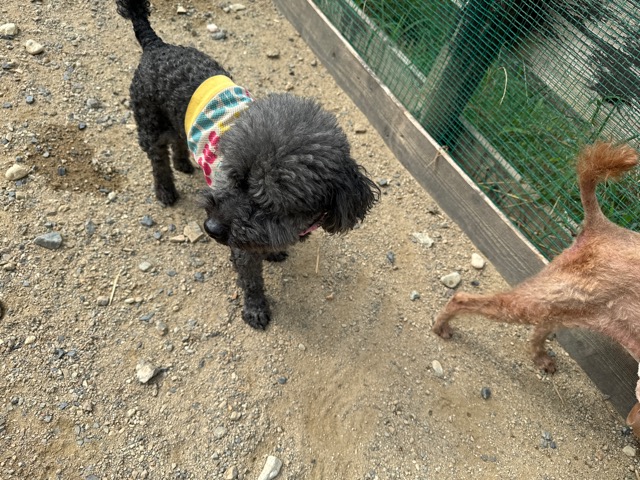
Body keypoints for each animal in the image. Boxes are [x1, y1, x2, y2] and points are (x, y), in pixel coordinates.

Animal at [116, 0, 378, 329]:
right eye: (233, 176)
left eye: (269, 202)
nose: (211, 228)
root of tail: (156, 44)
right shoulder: (241, 250)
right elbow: (251, 281)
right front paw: (255, 309)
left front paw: (275, 254)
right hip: (149, 121)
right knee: (157, 159)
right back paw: (165, 191)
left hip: (174, 117)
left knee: (177, 140)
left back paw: (184, 164)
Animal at [432, 142, 640, 430]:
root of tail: (602, 224)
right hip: (550, 298)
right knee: (463, 297)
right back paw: (442, 325)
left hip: (575, 304)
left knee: (543, 325)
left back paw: (540, 357)